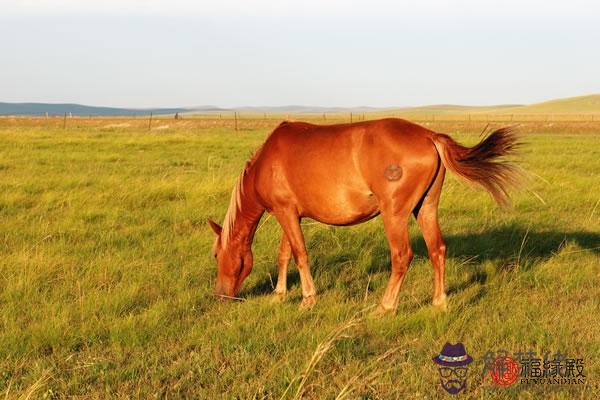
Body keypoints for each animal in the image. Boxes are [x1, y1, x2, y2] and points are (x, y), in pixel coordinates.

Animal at [209, 118, 516, 312]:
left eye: (215, 255)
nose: (219, 297)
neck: (266, 161)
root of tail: (430, 136)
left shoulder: (285, 213)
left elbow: (300, 254)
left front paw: (307, 299)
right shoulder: (292, 215)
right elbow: (286, 253)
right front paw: (280, 294)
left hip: (394, 215)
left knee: (402, 256)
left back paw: (385, 306)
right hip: (426, 208)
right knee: (437, 250)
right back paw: (438, 303)